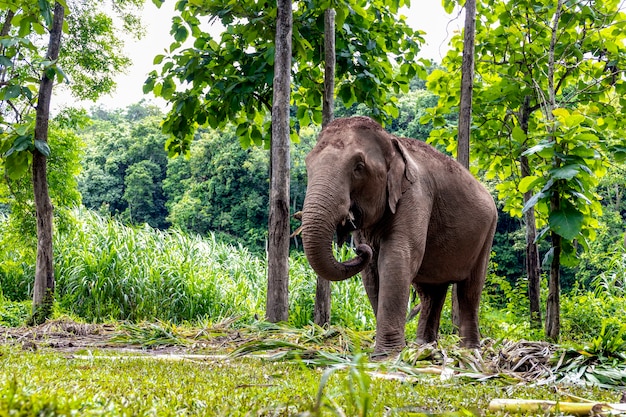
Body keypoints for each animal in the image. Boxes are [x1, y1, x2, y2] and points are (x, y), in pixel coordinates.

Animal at [300, 116, 494, 354]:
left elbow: (397, 258)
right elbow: (371, 272)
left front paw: (387, 354)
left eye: (359, 167)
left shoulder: (416, 195)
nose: (359, 249)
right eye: (308, 164)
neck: (393, 142)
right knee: (431, 292)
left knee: (469, 290)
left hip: (487, 233)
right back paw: (424, 346)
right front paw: (392, 352)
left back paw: (468, 350)